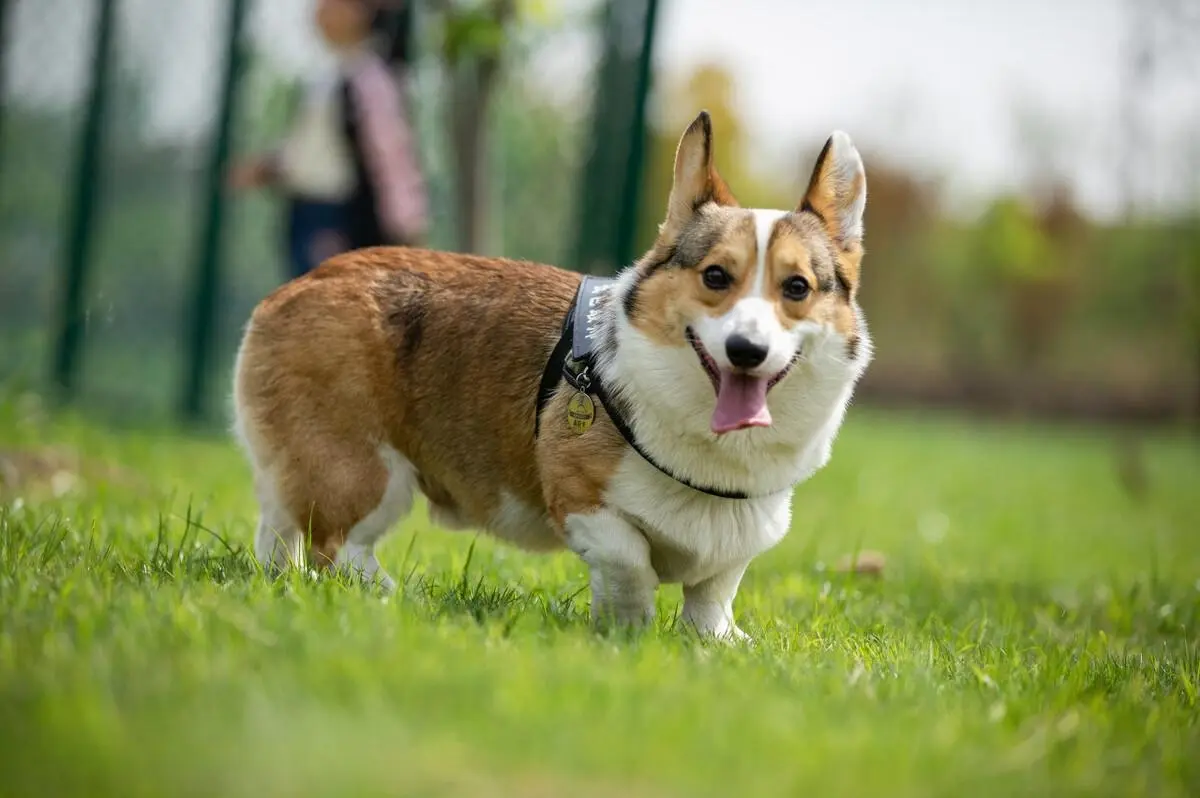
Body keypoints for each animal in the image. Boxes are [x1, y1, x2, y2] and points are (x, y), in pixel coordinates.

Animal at [231, 110, 873, 633]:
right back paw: (392, 595)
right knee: (335, 548)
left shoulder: (738, 542)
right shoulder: (582, 501)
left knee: (281, 532)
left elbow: (713, 595)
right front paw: (628, 628)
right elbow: (631, 562)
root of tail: (291, 291)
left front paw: (716, 641)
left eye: (797, 288)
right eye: (716, 276)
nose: (746, 350)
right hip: (364, 472)